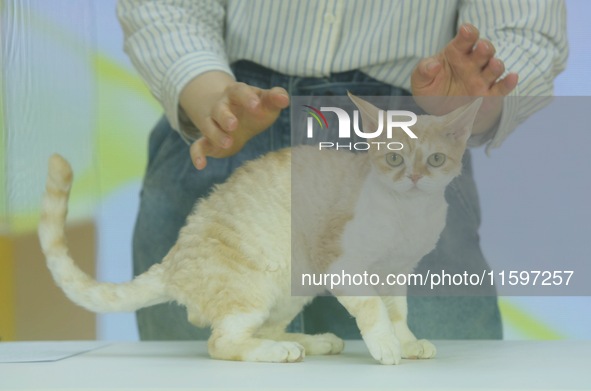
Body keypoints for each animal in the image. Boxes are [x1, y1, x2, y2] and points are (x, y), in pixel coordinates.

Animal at [35, 94, 480, 364]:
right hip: (253, 288)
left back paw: (307, 342)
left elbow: (398, 312)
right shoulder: (343, 265)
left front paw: (406, 342)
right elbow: (373, 309)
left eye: (436, 159)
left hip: (290, 287)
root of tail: (175, 259)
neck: (408, 215)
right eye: (393, 158)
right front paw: (386, 344)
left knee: (264, 328)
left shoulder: (396, 273)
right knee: (221, 343)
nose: (414, 178)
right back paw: (279, 351)